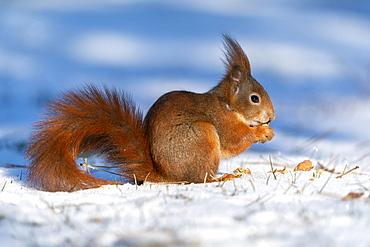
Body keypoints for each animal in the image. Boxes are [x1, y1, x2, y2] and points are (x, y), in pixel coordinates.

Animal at [26, 34, 274, 192]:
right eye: (255, 98)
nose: (272, 117)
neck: (227, 105)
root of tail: (167, 175)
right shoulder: (220, 121)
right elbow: (234, 140)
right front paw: (262, 133)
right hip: (202, 137)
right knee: (199, 180)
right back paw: (226, 176)